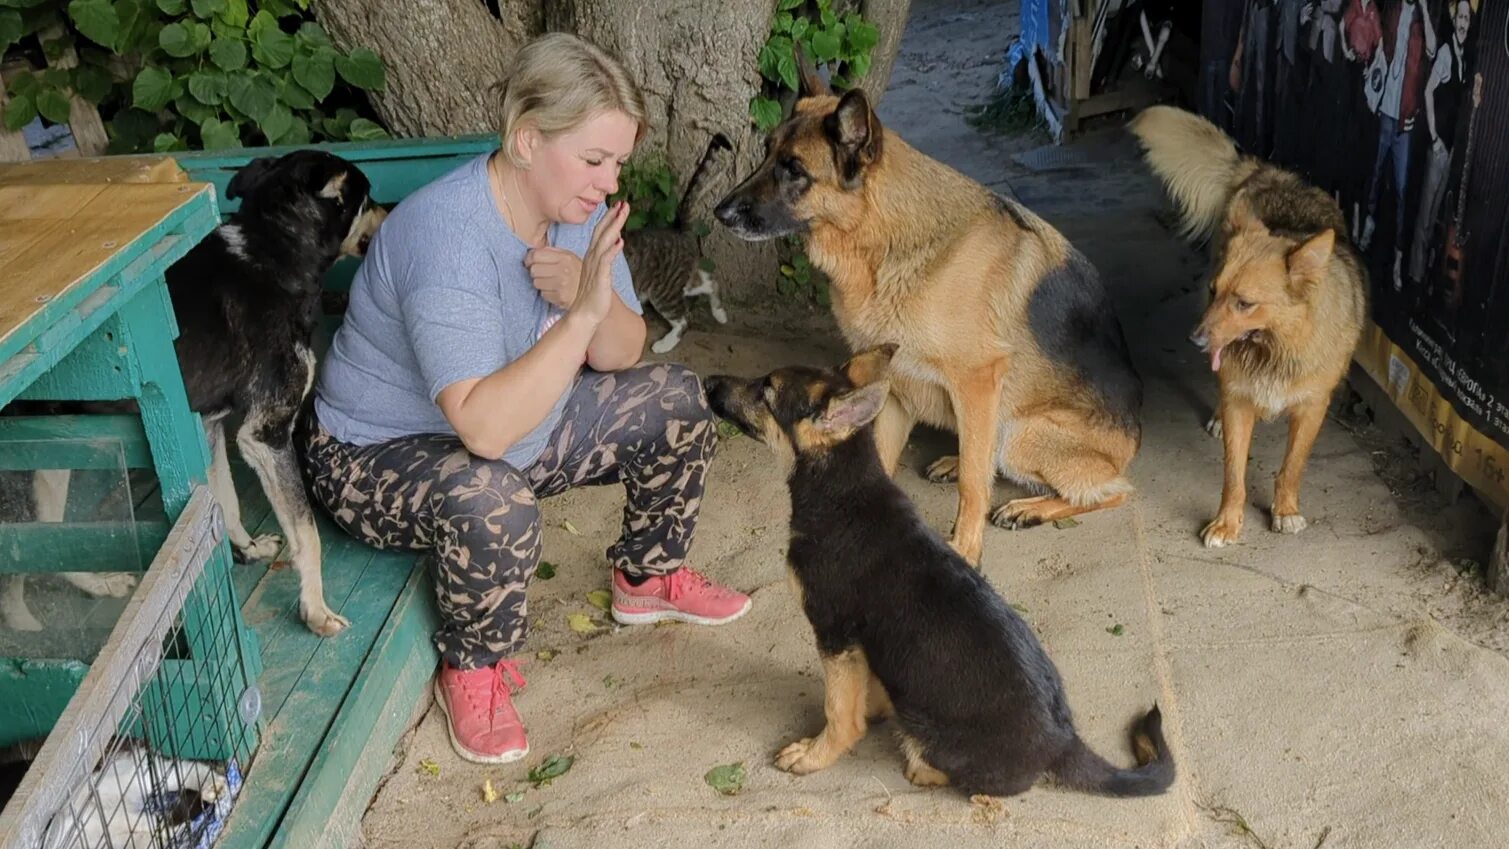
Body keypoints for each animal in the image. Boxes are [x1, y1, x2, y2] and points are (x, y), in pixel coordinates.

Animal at [706, 343, 1177, 796]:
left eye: (765, 391)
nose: (707, 380)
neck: (843, 492)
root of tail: (1063, 744)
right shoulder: (860, 644)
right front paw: (873, 706)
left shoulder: (835, 633)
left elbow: (840, 711)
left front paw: (816, 754)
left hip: (930, 739)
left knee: (953, 773)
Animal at [712, 56, 1134, 567]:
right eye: (767, 153)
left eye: (794, 169)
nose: (718, 212)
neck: (883, 242)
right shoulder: (893, 383)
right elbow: (886, 457)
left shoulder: (978, 379)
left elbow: (974, 485)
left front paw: (965, 549)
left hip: (1022, 432)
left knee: (1111, 490)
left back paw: (1030, 507)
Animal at [1134, 106, 1370, 548]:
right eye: (1215, 291)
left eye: (1245, 303)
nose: (1194, 340)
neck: (1274, 349)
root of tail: (1266, 169)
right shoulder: (1239, 404)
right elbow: (1233, 474)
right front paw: (1227, 522)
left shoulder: (1312, 408)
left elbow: (1292, 465)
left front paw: (1285, 510)